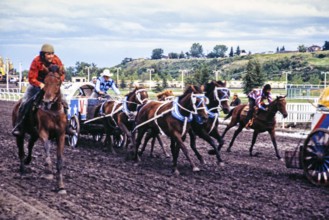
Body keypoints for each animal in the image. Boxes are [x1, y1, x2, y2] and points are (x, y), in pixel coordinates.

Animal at [11, 65, 67, 194]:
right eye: (45, 82)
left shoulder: (61, 135)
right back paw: (22, 170)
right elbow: (47, 150)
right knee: (21, 150)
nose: (47, 101)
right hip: (20, 133)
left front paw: (61, 186)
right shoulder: (43, 132)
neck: (53, 112)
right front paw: (48, 171)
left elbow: (60, 160)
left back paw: (28, 161)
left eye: (58, 82)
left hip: (33, 134)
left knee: (30, 145)